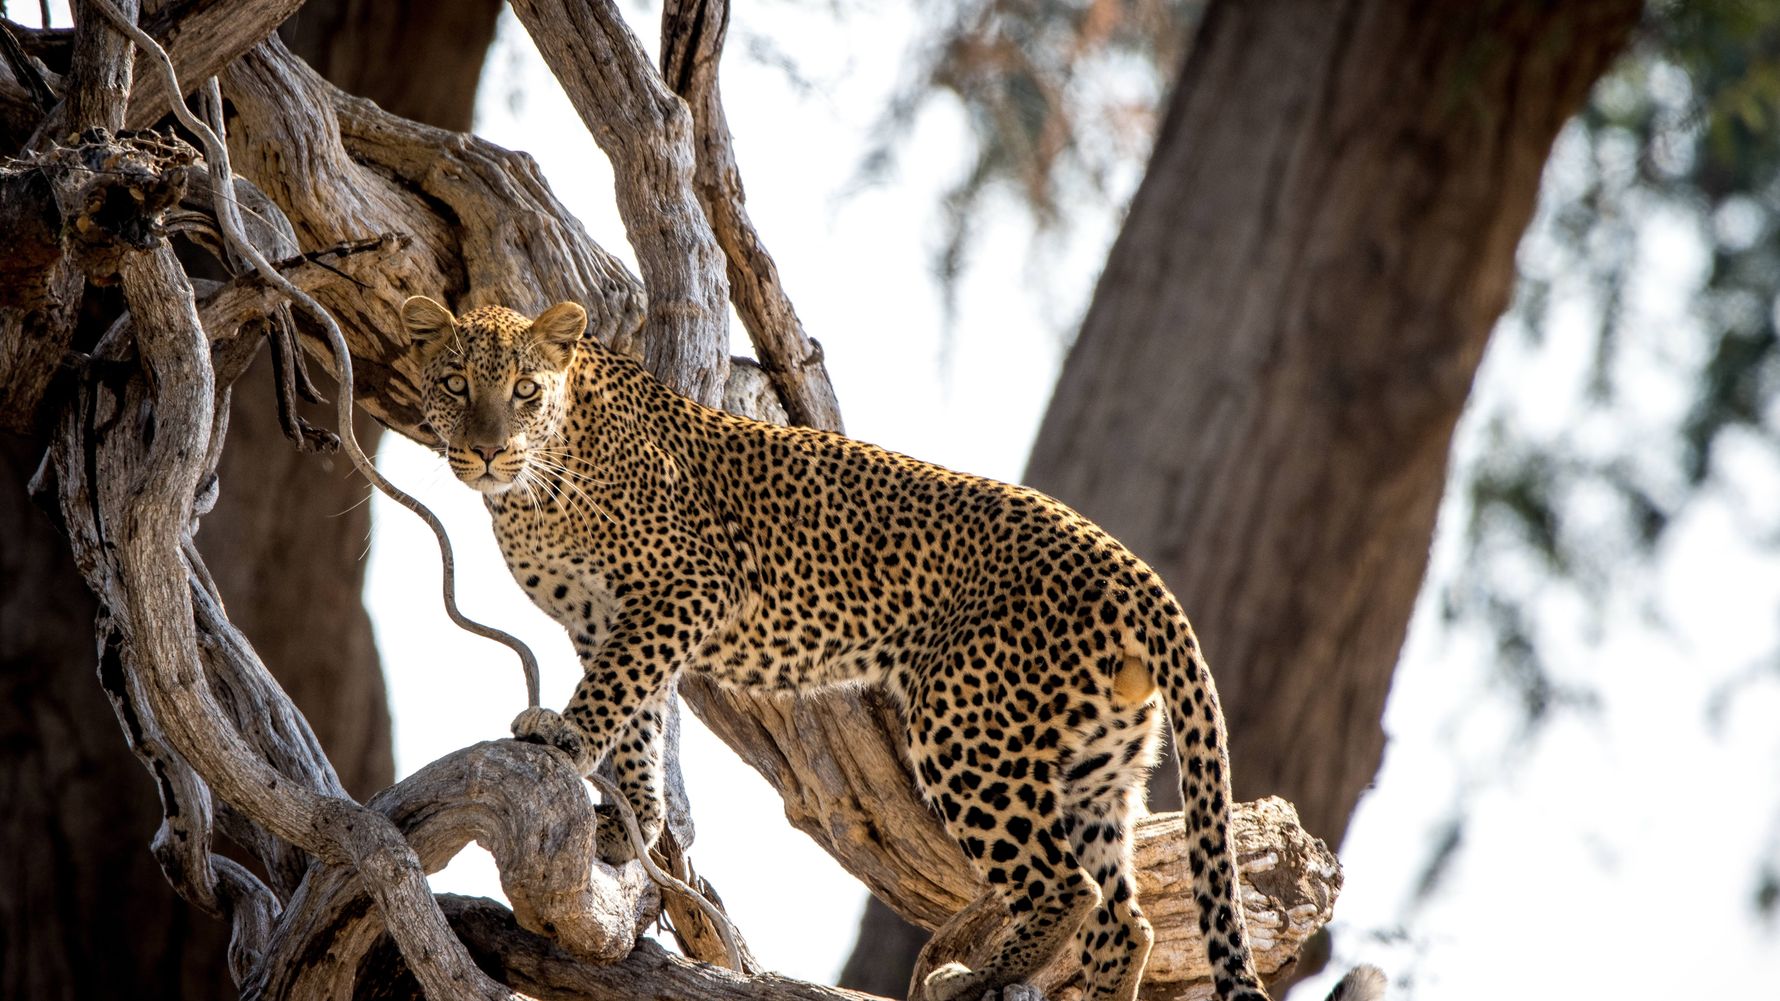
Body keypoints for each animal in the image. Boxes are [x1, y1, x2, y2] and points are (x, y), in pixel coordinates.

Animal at [401, 295, 1276, 1001]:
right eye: (454, 384)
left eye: (525, 390)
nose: (486, 450)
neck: (532, 490)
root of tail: (1130, 565)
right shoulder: (608, 617)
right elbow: (643, 717)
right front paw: (634, 820)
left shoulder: (689, 584)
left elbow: (618, 687)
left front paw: (564, 737)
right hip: (1096, 762)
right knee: (1128, 919)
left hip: (968, 726)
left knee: (1067, 887)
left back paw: (972, 978)